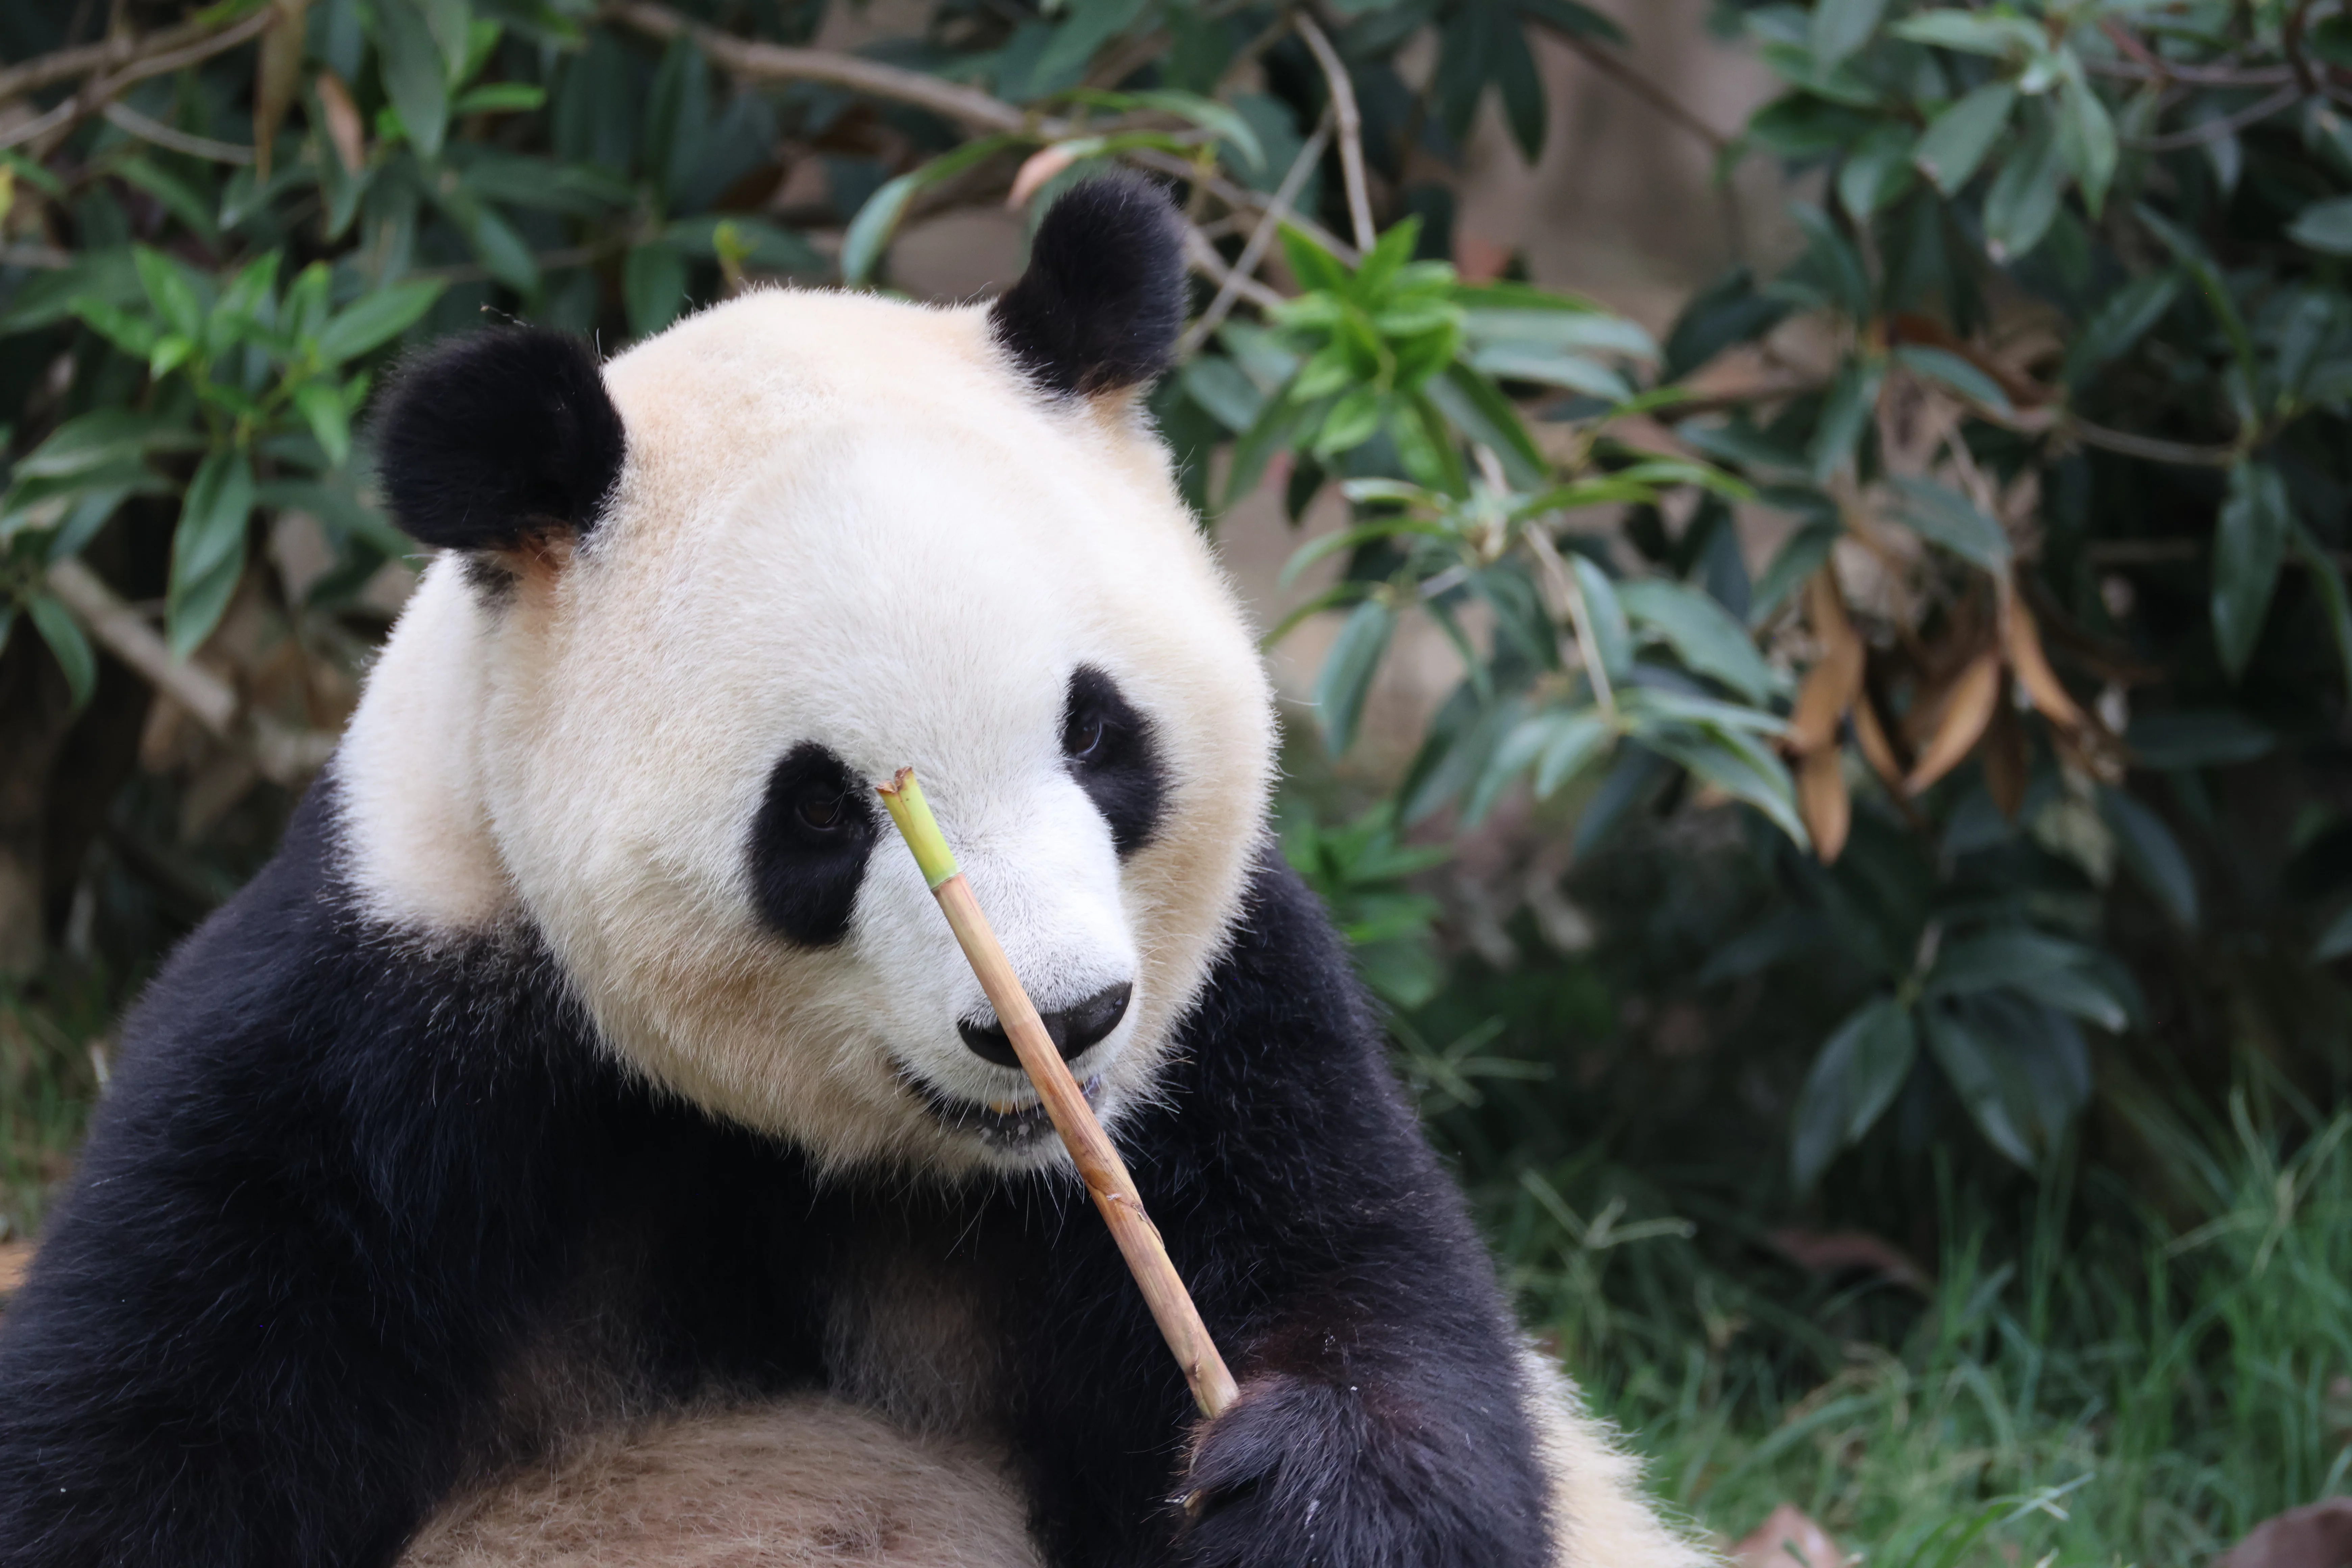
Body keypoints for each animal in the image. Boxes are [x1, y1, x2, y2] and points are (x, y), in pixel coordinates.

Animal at [0, 176, 1707, 1568]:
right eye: (821, 811)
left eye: (1098, 731)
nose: (1062, 1024)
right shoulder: (381, 1035)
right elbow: (153, 1411)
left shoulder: (1226, 1029)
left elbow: (1369, 1294)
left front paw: (1295, 1489)